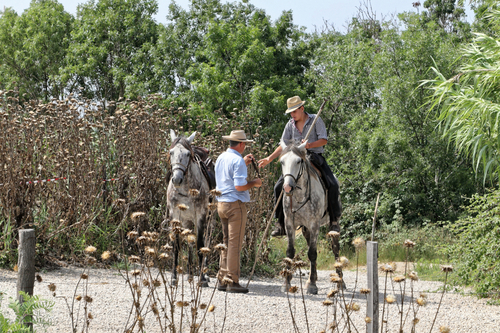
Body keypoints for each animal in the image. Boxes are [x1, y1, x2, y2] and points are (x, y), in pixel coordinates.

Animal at [165, 129, 210, 286]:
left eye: (187, 154)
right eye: (171, 152)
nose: (177, 179)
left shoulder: (200, 216)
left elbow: (200, 244)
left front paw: (202, 279)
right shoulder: (176, 216)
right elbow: (177, 245)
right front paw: (173, 277)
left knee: (205, 240)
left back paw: (204, 273)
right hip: (187, 221)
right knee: (190, 242)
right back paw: (190, 275)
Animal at [280, 140, 342, 294]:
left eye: (298, 161)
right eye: (282, 162)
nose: (288, 187)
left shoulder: (315, 224)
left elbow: (313, 253)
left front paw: (312, 285)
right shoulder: (289, 223)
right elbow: (290, 252)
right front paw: (286, 283)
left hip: (333, 225)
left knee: (335, 248)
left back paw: (340, 282)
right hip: (305, 228)